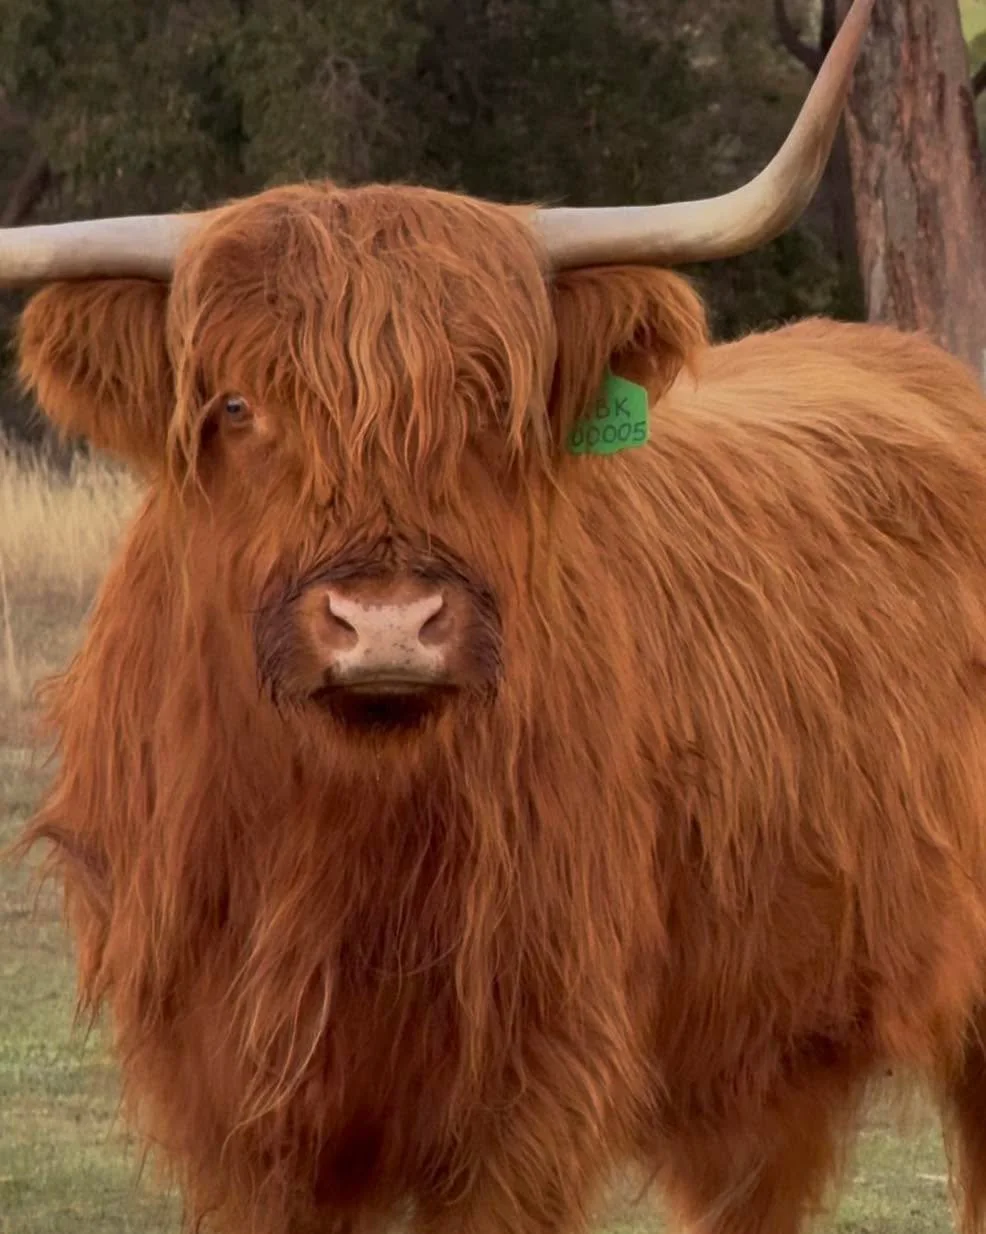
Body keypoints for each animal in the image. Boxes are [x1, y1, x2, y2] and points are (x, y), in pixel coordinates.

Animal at [10, 1, 986, 1232]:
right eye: (237, 402)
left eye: (485, 401)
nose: (386, 623)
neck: (340, 840)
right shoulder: (235, 1108)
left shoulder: (525, 1093)